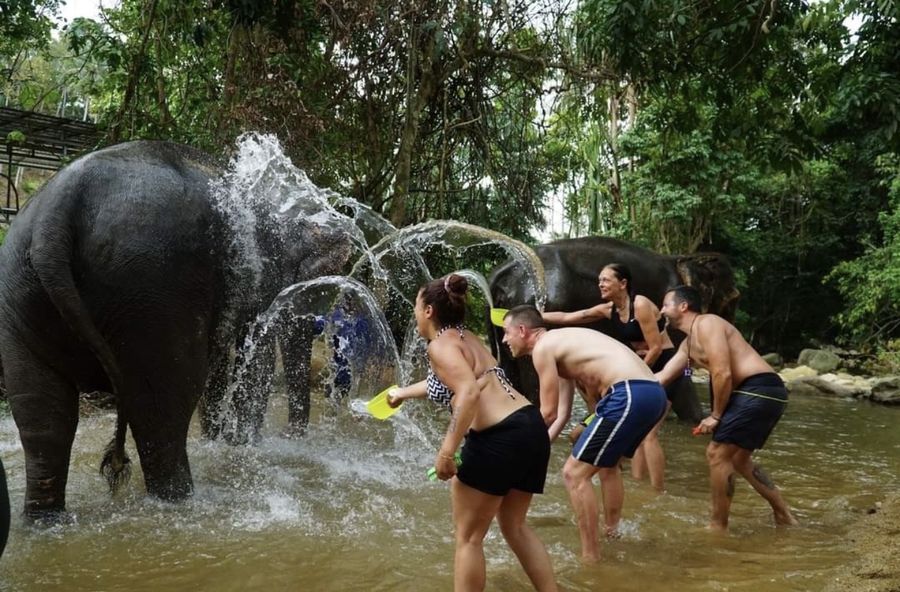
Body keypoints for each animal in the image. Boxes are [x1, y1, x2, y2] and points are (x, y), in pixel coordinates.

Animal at [0, 141, 351, 519]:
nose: (294, 437)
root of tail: (55, 214)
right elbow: (255, 363)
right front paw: (245, 446)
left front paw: (221, 442)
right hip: (152, 290)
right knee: (164, 406)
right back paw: (181, 501)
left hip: (22, 295)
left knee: (43, 419)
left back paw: (46, 519)